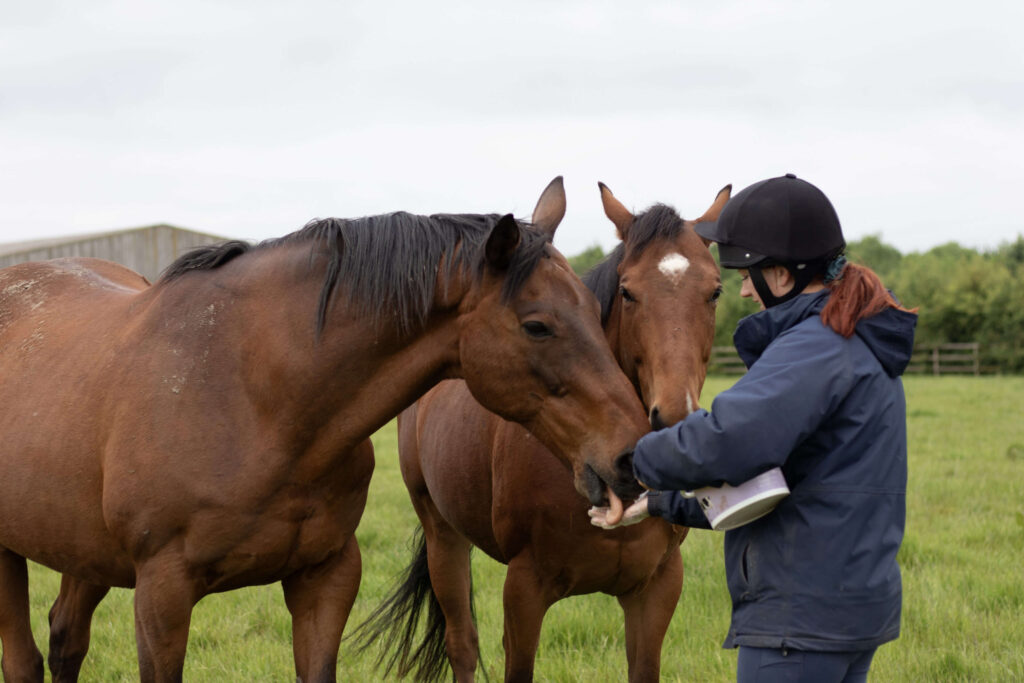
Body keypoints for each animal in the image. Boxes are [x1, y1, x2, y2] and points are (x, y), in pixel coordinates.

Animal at [0, 179, 651, 679]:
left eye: (598, 308)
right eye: (538, 325)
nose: (629, 458)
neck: (253, 397)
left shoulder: (327, 577)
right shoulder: (162, 593)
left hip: (82, 552)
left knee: (65, 640)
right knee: (25, 660)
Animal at [356, 183, 733, 683]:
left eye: (714, 291)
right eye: (628, 292)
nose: (674, 416)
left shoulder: (657, 587)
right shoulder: (525, 591)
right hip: (443, 536)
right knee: (462, 645)